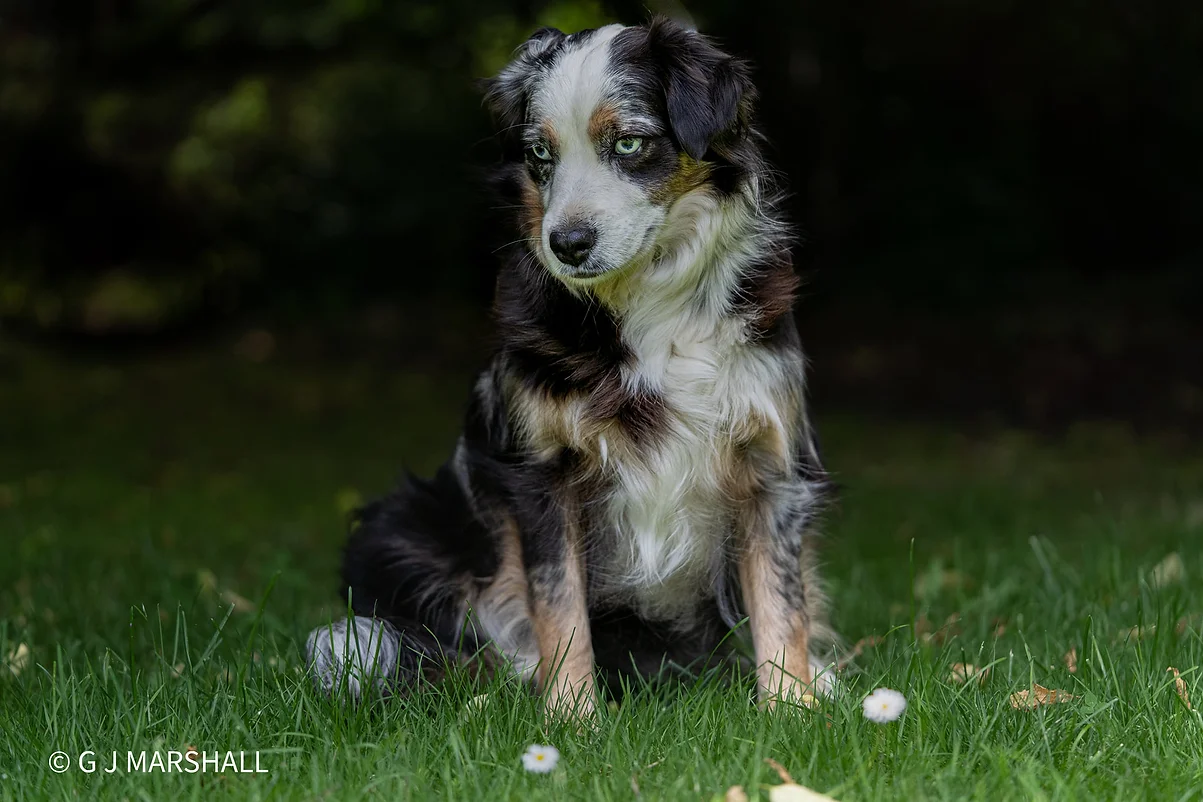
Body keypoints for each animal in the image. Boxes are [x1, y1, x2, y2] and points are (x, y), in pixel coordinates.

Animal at [305, 17, 837, 716]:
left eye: (629, 142)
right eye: (540, 154)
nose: (567, 244)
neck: (648, 306)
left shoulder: (771, 461)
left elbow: (781, 600)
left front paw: (793, 709)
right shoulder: (541, 472)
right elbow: (559, 607)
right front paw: (572, 719)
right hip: (399, 525)